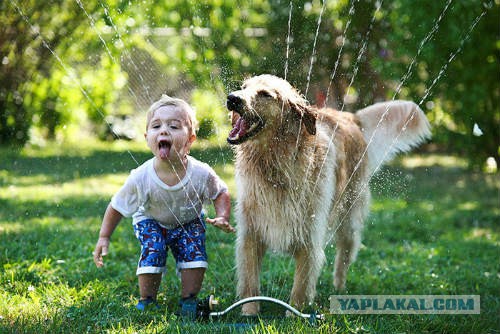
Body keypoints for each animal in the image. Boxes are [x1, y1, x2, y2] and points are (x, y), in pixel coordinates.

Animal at [227, 74, 430, 314]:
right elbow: (250, 281)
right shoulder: (250, 233)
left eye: (265, 94)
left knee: (345, 255)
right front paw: (249, 312)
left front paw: (294, 314)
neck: (276, 165)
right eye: (243, 87)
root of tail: (351, 117)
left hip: (349, 218)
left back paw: (339, 288)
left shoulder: (310, 235)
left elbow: (301, 286)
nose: (232, 98)